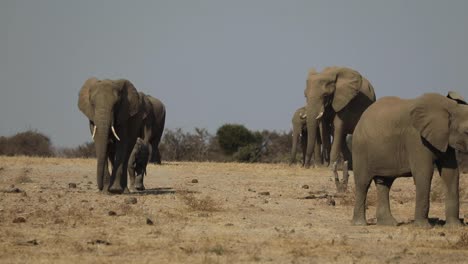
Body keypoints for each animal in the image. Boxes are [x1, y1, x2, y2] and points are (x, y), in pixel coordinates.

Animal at [352, 93, 468, 227]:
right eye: (467, 132)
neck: (451, 107)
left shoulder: (445, 139)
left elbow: (451, 174)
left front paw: (455, 226)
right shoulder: (416, 138)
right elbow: (424, 173)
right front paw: (423, 227)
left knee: (384, 183)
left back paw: (388, 224)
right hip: (360, 150)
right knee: (363, 183)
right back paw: (359, 224)